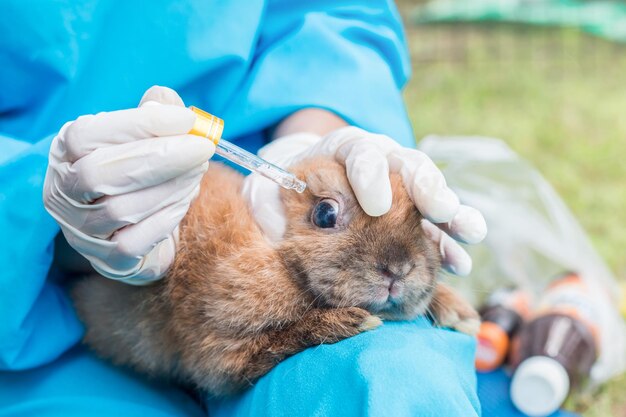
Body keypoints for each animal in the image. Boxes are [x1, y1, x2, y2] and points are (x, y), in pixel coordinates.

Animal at [70, 155, 478, 394]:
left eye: (420, 219)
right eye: (325, 215)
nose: (398, 269)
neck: (282, 260)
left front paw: (461, 315)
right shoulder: (219, 350)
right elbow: (273, 343)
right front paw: (350, 322)